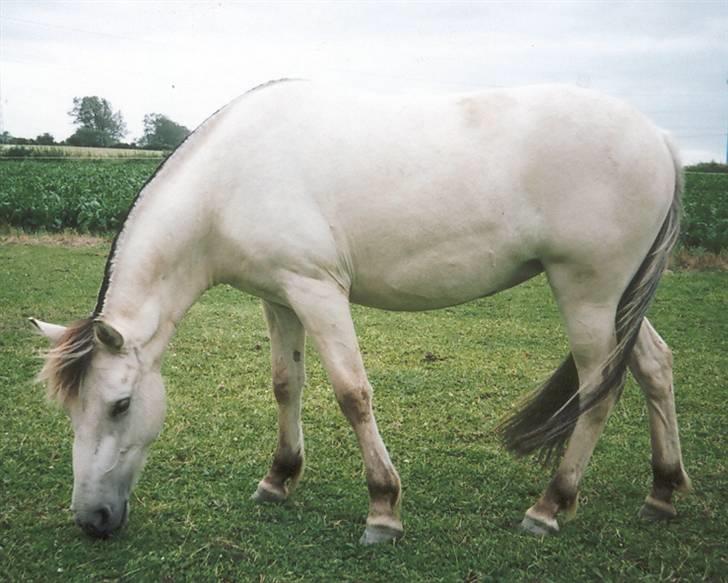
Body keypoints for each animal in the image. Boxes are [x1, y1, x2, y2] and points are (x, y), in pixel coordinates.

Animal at [32, 80, 688, 544]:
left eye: (120, 405)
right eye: (71, 412)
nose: (92, 518)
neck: (230, 179)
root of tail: (660, 138)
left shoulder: (318, 291)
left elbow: (352, 393)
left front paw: (383, 509)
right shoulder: (279, 297)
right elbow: (286, 384)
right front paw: (279, 478)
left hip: (587, 293)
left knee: (599, 389)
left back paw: (551, 506)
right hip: (613, 299)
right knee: (655, 366)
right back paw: (662, 492)